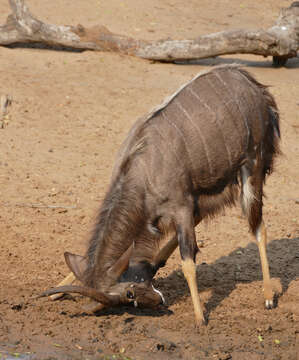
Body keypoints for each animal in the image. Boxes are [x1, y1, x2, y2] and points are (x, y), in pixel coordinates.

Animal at [42, 64, 282, 326]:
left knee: (258, 227)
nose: (159, 301)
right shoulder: (177, 208)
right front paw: (57, 290)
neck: (144, 167)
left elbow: (188, 261)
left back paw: (268, 296)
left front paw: (200, 318)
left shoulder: (182, 206)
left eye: (129, 295)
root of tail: (253, 84)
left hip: (252, 168)